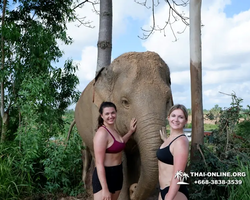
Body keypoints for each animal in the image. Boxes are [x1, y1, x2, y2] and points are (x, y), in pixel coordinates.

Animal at [74, 50, 172, 199]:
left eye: (167, 101)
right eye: (125, 102)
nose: (134, 188)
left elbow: (136, 158)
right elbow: (121, 159)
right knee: (91, 153)